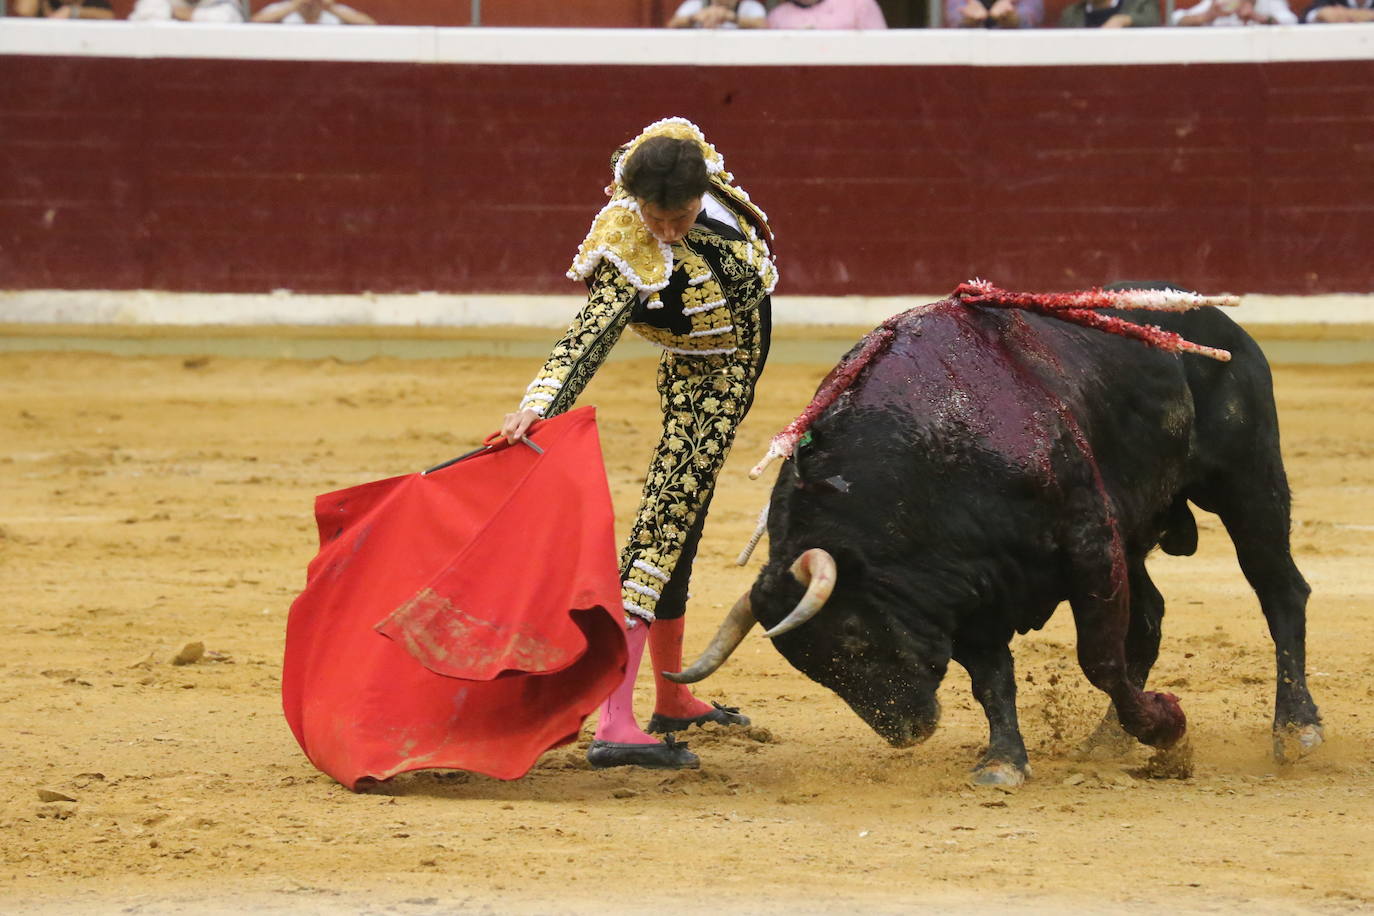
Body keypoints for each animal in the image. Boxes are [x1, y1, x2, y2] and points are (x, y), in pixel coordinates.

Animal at [670, 281, 1324, 791]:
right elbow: (992, 677)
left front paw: (1169, 727)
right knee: (1151, 616)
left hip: (1247, 481)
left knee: (1279, 590)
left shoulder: (1087, 540)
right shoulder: (965, 585)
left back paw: (1297, 728)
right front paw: (1004, 761)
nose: (907, 732)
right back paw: (1109, 740)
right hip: (1137, 534)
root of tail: (1222, 325)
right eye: (809, 666)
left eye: (852, 636)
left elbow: (1098, 657)